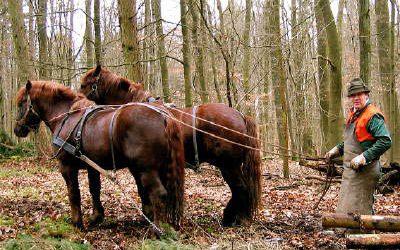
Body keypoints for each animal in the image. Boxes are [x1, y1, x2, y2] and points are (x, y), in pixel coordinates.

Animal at [13, 81, 186, 229]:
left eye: (21, 103)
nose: (17, 129)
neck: (67, 116)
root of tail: (163, 115)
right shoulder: (92, 166)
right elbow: (94, 189)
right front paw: (97, 217)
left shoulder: (67, 166)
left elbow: (74, 193)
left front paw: (77, 223)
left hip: (147, 169)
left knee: (159, 194)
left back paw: (156, 230)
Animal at [81, 66, 262, 227]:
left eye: (84, 85)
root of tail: (241, 115)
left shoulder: (138, 167)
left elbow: (143, 191)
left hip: (228, 165)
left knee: (240, 188)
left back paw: (238, 218)